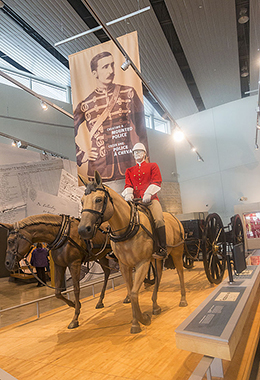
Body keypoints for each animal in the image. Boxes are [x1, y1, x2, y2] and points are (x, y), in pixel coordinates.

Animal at [77, 171, 187, 334]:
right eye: (82, 201)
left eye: (98, 199)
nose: (83, 230)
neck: (127, 228)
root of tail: (174, 217)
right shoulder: (125, 266)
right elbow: (130, 291)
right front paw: (135, 323)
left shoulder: (142, 263)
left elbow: (135, 293)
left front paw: (143, 319)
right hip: (157, 258)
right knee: (159, 277)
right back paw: (155, 306)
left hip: (177, 253)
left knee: (180, 272)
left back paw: (183, 299)